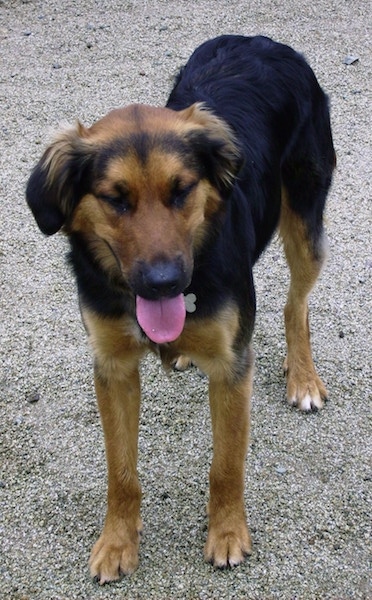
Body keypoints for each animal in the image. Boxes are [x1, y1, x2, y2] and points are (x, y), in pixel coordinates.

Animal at [25, 36, 334, 580]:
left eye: (182, 190)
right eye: (115, 199)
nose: (164, 283)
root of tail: (262, 40)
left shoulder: (232, 365)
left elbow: (226, 465)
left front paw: (228, 535)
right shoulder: (113, 366)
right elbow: (121, 470)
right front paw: (117, 542)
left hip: (304, 218)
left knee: (297, 305)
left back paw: (302, 377)